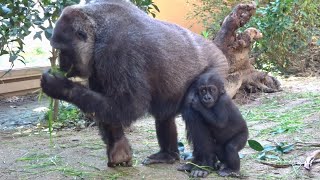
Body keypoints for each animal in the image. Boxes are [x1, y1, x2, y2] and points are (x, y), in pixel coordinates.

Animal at [41, 0, 229, 167]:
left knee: (194, 109)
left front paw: (59, 87)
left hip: (217, 68)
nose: (61, 65)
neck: (96, 31)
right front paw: (119, 149)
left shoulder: (117, 52)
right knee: (164, 114)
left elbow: (128, 106)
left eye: (63, 50)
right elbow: (109, 110)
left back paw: (203, 162)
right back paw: (167, 155)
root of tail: (216, 47)